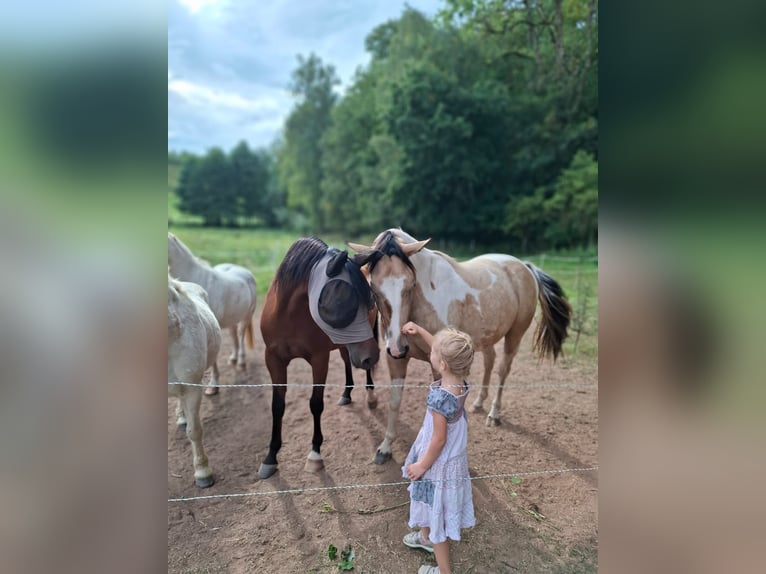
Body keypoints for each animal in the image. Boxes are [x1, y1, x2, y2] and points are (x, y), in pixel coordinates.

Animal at [168, 232, 258, 395]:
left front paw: (213, 386)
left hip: (247, 316)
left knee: (240, 335)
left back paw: (241, 362)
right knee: (234, 335)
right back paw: (233, 359)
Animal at [258, 237, 380, 479]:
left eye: (369, 301)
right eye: (343, 302)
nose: (371, 356)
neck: (289, 315)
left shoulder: (319, 359)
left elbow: (315, 404)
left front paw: (315, 455)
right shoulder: (274, 359)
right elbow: (277, 405)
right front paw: (270, 457)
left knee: (365, 371)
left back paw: (370, 396)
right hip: (345, 344)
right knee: (347, 361)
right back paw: (346, 394)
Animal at [349, 228, 572, 464]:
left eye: (410, 285)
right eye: (373, 287)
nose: (398, 347)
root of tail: (524, 266)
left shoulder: (437, 366)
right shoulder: (396, 360)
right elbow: (394, 402)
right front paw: (385, 448)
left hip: (515, 336)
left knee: (503, 370)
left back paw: (494, 414)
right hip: (486, 337)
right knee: (490, 361)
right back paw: (478, 403)